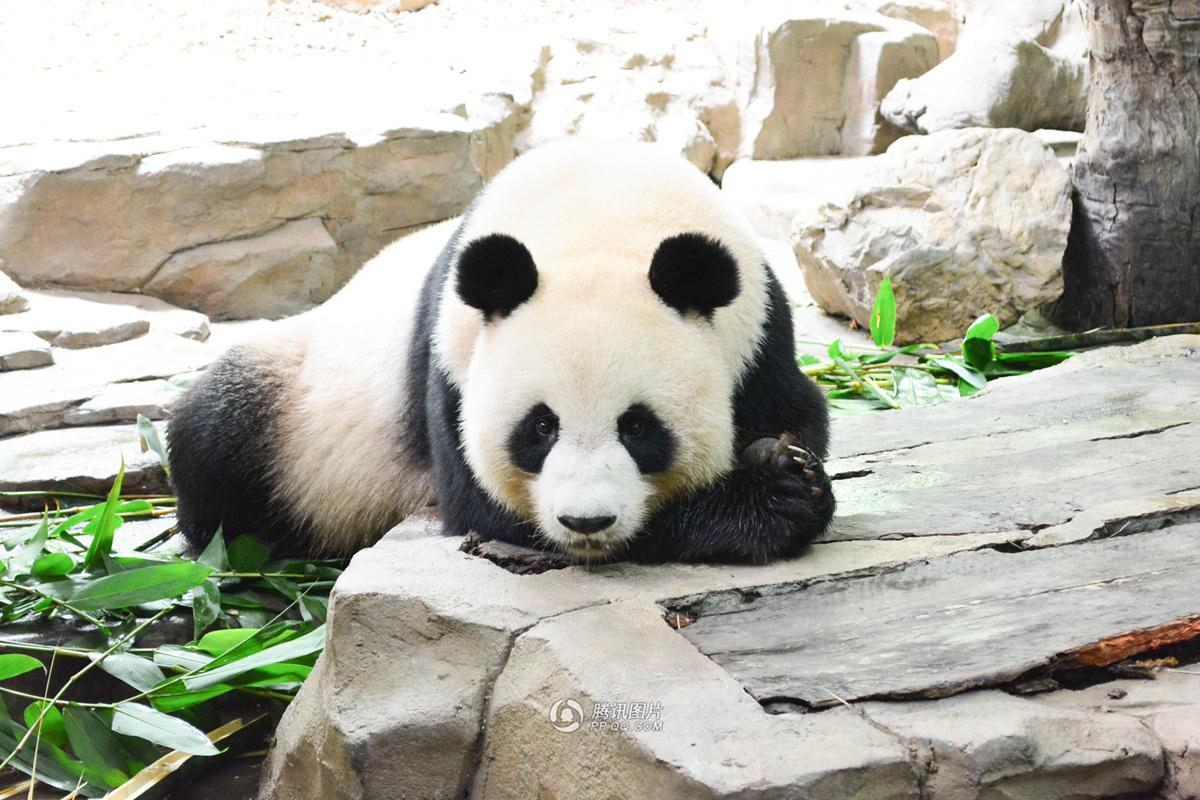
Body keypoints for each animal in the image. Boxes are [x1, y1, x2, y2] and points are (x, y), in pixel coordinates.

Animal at [167, 140, 834, 564]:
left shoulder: (758, 330)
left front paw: (788, 472)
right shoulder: (451, 361)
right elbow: (480, 506)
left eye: (639, 426)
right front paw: (769, 500)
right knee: (215, 430)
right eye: (539, 426)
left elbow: (798, 412)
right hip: (300, 406)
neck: (599, 215)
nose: (586, 522)